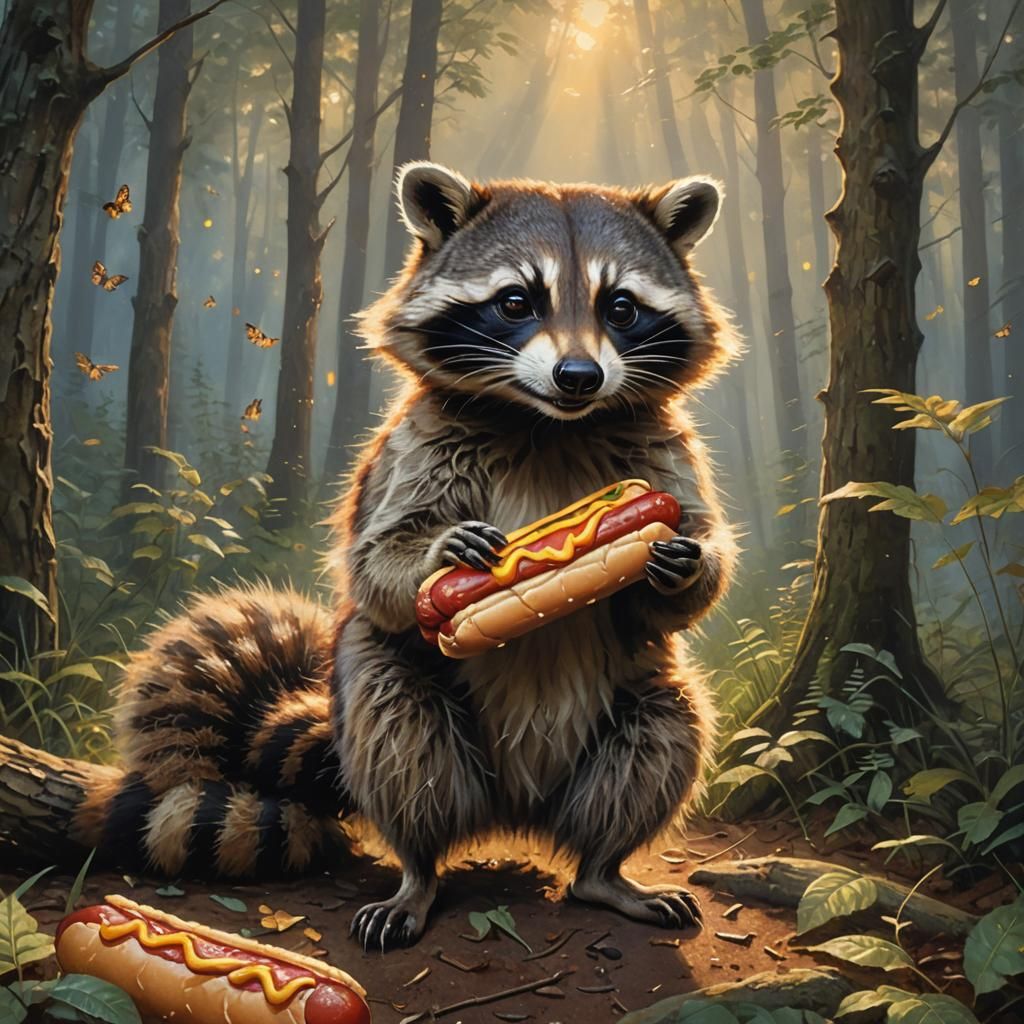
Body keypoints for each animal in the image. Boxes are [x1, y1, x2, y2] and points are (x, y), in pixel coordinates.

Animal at [50, 163, 738, 951]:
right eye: (516, 301)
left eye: (620, 308)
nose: (579, 375)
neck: (549, 424)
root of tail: (515, 811)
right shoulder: (413, 446)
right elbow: (373, 561)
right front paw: (440, 552)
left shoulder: (664, 452)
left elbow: (700, 545)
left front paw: (684, 561)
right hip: (399, 705)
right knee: (398, 736)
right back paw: (419, 870)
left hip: (631, 703)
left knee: (665, 728)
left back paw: (605, 866)